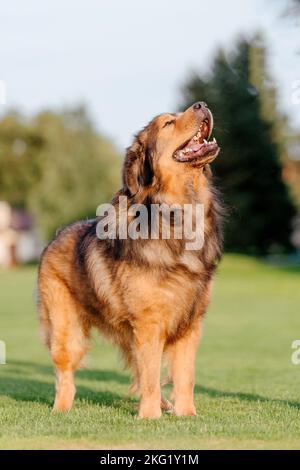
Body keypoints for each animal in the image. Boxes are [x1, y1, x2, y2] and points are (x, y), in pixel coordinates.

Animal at [38, 102, 223, 418]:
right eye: (168, 123)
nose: (202, 104)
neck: (177, 214)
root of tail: (58, 234)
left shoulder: (190, 324)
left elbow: (185, 376)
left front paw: (187, 414)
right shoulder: (148, 324)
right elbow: (149, 375)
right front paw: (149, 417)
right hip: (65, 328)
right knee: (65, 375)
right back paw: (60, 409)